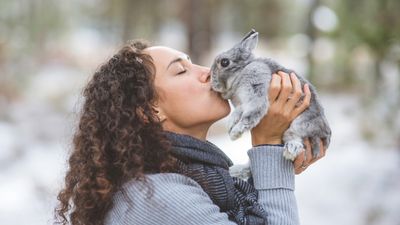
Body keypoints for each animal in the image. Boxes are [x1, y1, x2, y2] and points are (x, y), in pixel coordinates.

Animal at [209, 29, 332, 160]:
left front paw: (235, 133)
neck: (242, 71)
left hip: (303, 123)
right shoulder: (242, 104)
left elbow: (250, 115)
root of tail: (327, 136)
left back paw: (291, 149)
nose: (212, 82)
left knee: (293, 135)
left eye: (224, 62)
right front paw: (230, 124)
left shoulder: (255, 88)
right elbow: (238, 112)